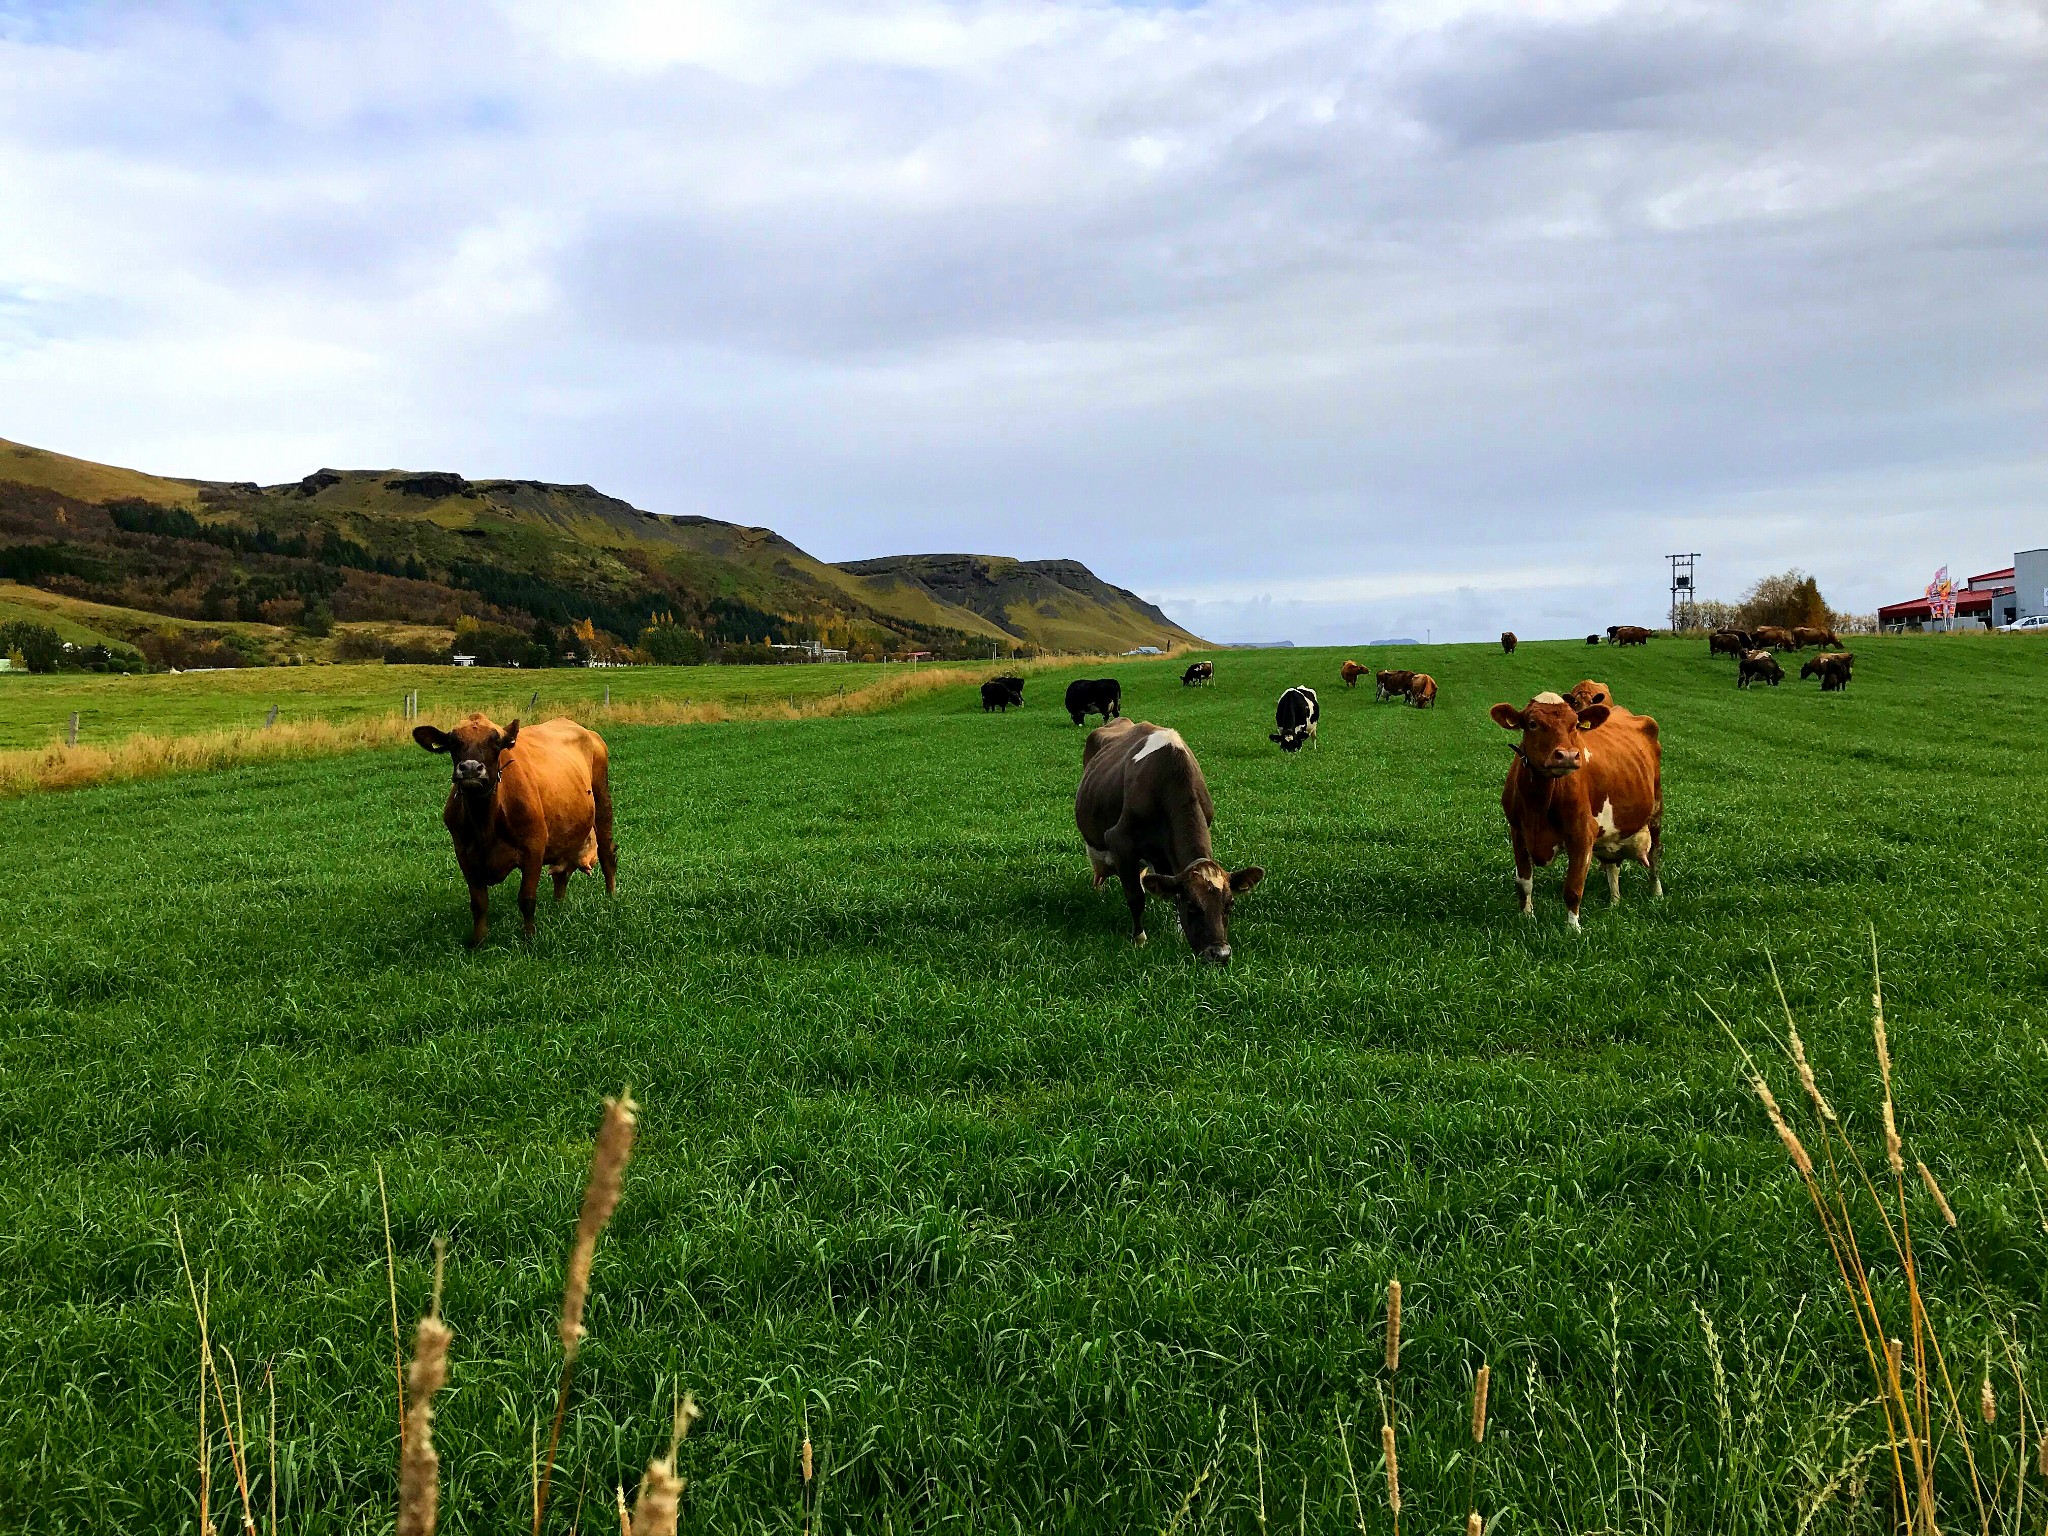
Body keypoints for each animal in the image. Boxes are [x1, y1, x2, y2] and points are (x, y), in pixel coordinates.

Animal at [409, 720, 614, 950]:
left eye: (496, 742)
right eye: (453, 743)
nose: (470, 768)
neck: (485, 823)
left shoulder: (534, 848)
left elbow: (527, 899)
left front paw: (529, 938)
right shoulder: (464, 854)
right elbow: (479, 903)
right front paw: (479, 941)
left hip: (602, 798)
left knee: (607, 853)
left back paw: (611, 898)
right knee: (561, 873)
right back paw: (557, 906)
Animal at [1073, 720, 1261, 962]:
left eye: (1230, 904)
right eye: (1192, 906)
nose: (1220, 953)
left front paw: (1179, 934)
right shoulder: (1119, 842)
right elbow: (1135, 896)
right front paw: (1139, 939)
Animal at [1490, 696, 1662, 933]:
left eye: (1574, 725)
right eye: (1532, 724)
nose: (1568, 756)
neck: (1538, 805)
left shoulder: (1582, 834)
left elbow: (1573, 888)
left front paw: (1573, 929)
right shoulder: (1518, 832)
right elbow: (1524, 882)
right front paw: (1526, 918)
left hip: (1656, 811)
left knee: (1654, 856)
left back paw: (1657, 894)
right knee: (1612, 865)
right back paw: (1614, 902)